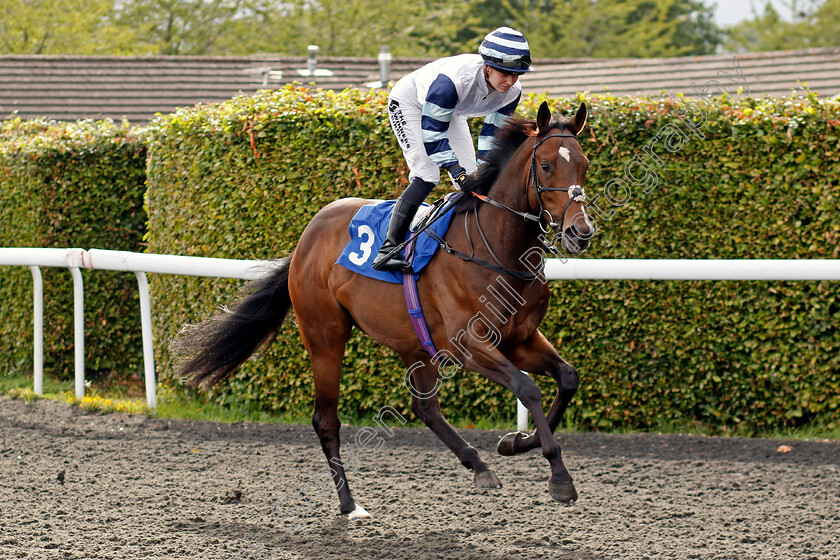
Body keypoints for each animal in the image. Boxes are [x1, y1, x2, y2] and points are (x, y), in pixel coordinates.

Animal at [179, 101, 592, 520]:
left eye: (585, 164)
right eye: (546, 166)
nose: (581, 232)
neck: (495, 247)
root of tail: (305, 239)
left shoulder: (519, 339)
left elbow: (567, 378)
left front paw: (517, 442)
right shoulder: (469, 345)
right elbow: (528, 388)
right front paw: (559, 475)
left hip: (414, 342)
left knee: (425, 408)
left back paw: (477, 465)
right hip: (325, 337)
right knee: (326, 420)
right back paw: (350, 504)